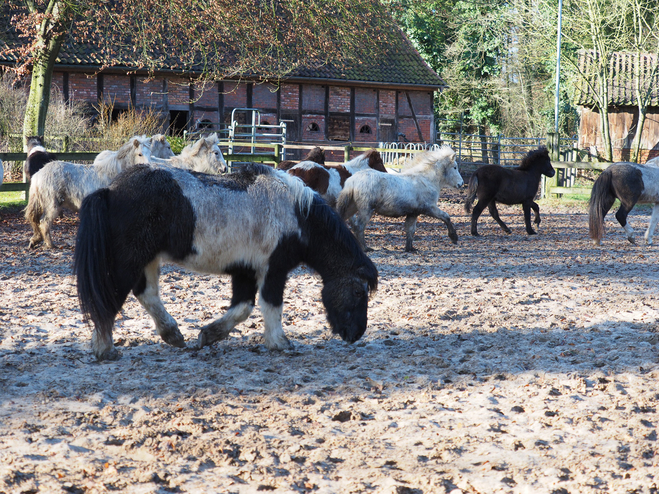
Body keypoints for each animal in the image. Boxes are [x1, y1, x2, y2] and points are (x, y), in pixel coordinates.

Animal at [75, 162, 378, 358]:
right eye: (357, 292)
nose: (356, 334)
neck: (297, 215)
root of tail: (110, 190)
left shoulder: (245, 270)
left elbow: (243, 308)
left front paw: (209, 335)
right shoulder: (273, 269)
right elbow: (271, 306)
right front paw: (280, 343)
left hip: (147, 259)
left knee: (146, 294)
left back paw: (172, 335)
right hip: (129, 261)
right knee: (111, 298)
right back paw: (105, 349)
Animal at [336, 146, 464, 251]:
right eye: (455, 167)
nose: (461, 183)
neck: (425, 179)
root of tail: (352, 180)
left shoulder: (413, 213)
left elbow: (410, 230)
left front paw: (410, 248)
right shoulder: (430, 208)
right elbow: (446, 216)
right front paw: (454, 237)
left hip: (351, 208)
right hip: (366, 210)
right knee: (359, 227)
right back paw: (365, 248)